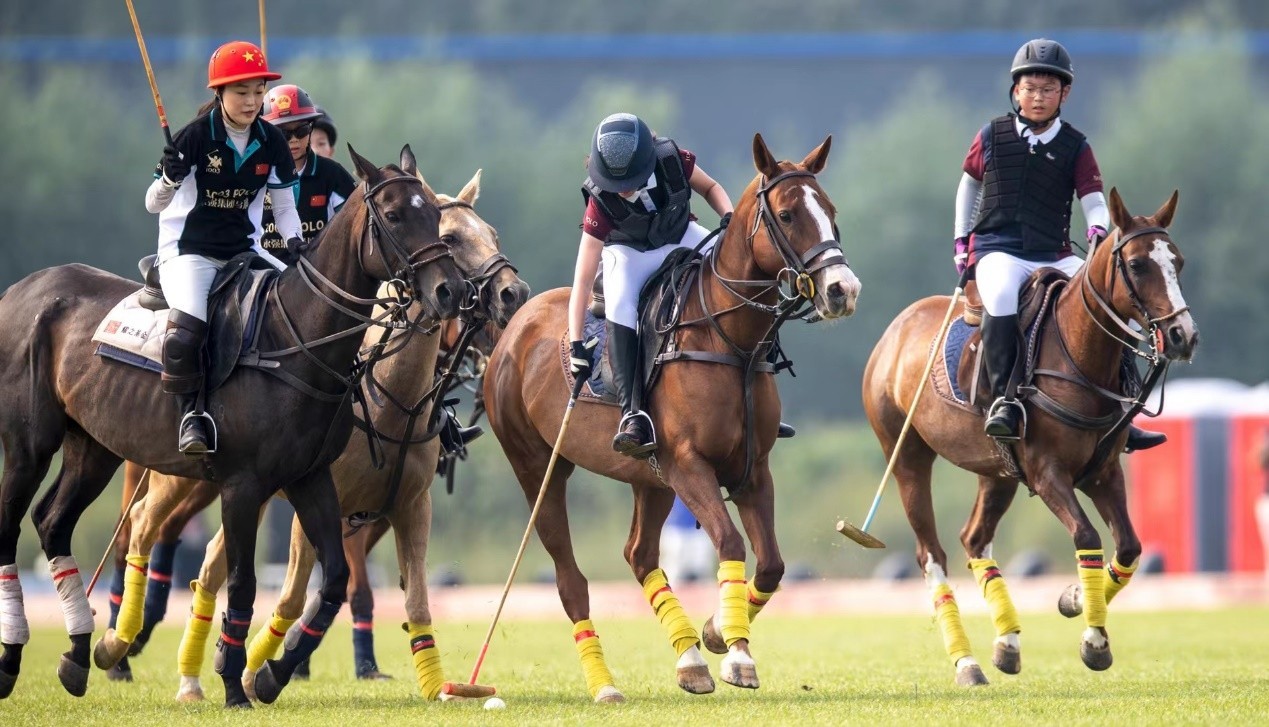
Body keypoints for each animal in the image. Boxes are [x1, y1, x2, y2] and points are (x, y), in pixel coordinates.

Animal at [0, 143, 466, 705]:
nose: (451, 291)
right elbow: (243, 581)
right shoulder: (244, 485)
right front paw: (234, 681)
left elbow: (331, 581)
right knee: (25, 528)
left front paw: (268, 675)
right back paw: (24, 657)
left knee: (53, 522)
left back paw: (76, 655)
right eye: (394, 215)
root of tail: (18, 290)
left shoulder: (311, 478)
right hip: (32, 445)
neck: (297, 341)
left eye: (435, 216)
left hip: (93, 446)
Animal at [482, 133, 862, 700]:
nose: (843, 290)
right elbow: (730, 541)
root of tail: (512, 328)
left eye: (831, 212)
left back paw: (690, 660)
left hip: (650, 480)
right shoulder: (688, 463)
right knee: (570, 578)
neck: (730, 340)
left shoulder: (752, 469)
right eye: (788, 214)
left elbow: (772, 565)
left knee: (639, 554)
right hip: (538, 468)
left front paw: (720, 636)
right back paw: (606, 685)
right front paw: (735, 651)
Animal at [862, 189, 1197, 685]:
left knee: (974, 537)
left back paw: (1007, 643)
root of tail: (894, 330)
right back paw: (967, 664)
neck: (1081, 356)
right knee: (931, 553)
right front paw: (1093, 641)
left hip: (996, 470)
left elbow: (1130, 547)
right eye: (1137, 265)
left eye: (1178, 261)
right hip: (906, 455)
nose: (1182, 336)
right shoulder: (1046, 472)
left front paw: (1073, 599)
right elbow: (1087, 536)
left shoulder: (1103, 472)